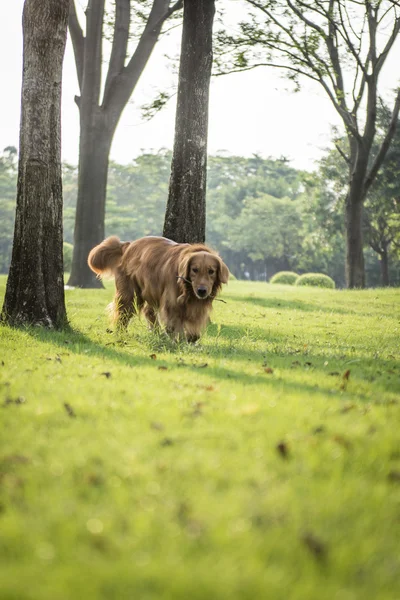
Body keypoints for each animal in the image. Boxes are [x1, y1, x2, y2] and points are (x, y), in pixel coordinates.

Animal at [89, 237, 230, 344]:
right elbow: (175, 325)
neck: (187, 290)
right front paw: (179, 342)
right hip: (130, 295)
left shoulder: (197, 307)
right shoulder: (171, 303)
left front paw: (191, 339)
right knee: (122, 315)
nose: (202, 291)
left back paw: (157, 333)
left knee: (148, 311)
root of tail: (128, 245)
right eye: (194, 270)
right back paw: (121, 334)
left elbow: (194, 329)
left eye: (211, 271)